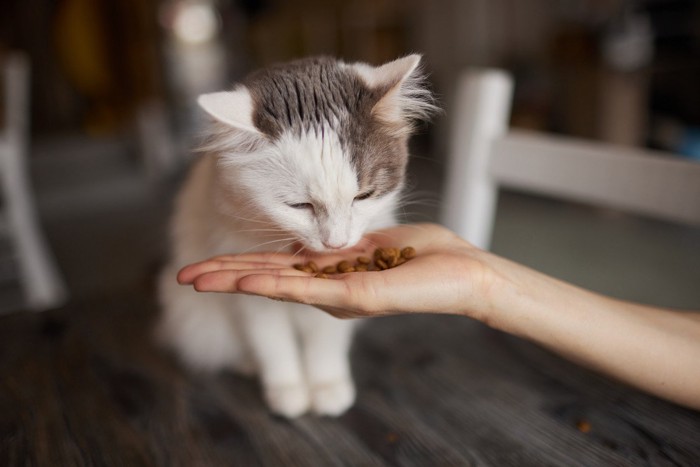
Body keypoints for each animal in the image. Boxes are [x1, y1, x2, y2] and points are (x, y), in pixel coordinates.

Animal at [156, 55, 434, 420]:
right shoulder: (251, 301)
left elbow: (324, 344)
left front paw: (327, 387)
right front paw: (287, 393)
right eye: (299, 205)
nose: (336, 243)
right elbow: (274, 346)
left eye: (363, 196)